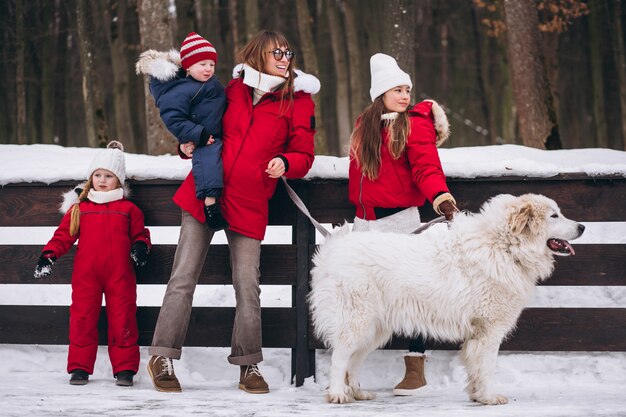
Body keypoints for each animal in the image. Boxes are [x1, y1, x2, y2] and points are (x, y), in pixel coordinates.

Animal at [310, 193, 584, 404]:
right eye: (554, 216)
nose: (582, 227)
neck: (504, 247)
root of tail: (335, 249)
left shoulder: (478, 334)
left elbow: (475, 367)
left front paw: (477, 396)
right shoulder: (490, 330)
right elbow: (487, 367)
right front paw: (489, 397)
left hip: (374, 329)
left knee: (354, 361)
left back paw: (357, 392)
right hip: (356, 321)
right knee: (340, 357)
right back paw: (338, 394)